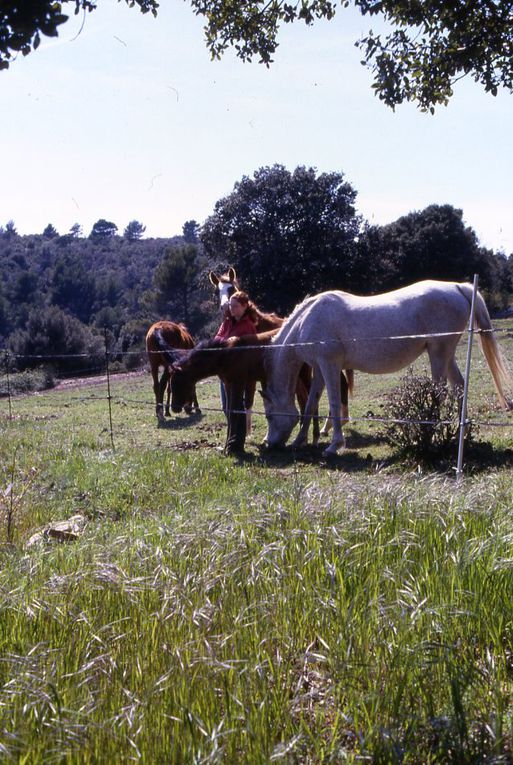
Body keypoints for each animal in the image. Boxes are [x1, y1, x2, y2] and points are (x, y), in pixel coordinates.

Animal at [208, 266, 352, 438]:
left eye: (231, 289)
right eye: (216, 291)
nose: (225, 307)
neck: (256, 326)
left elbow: (249, 401)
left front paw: (249, 433)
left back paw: (330, 425)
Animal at [262, 280, 510, 454]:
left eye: (269, 416)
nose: (269, 443)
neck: (307, 320)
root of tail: (458, 288)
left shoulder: (329, 365)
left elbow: (333, 401)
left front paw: (334, 445)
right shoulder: (320, 370)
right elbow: (311, 404)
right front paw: (299, 440)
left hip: (439, 353)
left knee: (439, 392)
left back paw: (432, 434)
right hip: (445, 354)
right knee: (459, 385)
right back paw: (461, 431)